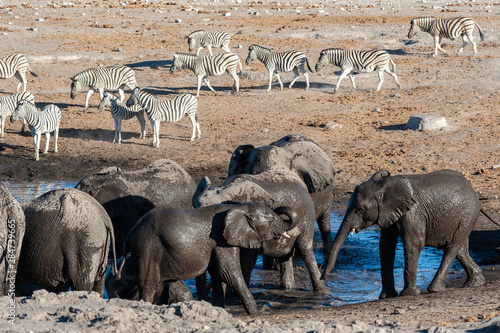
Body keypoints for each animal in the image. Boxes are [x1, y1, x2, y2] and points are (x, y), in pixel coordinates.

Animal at [119, 200, 298, 314]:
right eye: (272, 220)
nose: (266, 306)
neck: (238, 208)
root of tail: (132, 230)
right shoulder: (221, 239)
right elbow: (229, 273)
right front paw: (259, 311)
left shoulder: (218, 242)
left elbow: (218, 274)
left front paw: (219, 310)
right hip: (148, 248)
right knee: (148, 285)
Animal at [193, 165, 330, 292]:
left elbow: (246, 262)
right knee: (285, 256)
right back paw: (288, 289)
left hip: (308, 214)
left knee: (305, 249)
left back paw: (323, 292)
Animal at [322, 170, 498, 296]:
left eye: (360, 209)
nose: (322, 278)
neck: (381, 186)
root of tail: (475, 194)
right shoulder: (388, 213)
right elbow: (385, 246)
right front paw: (387, 296)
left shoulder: (413, 212)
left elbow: (413, 243)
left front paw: (409, 294)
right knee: (460, 249)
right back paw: (474, 283)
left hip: (468, 214)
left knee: (452, 247)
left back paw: (435, 289)